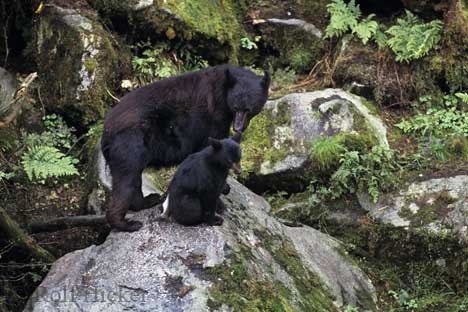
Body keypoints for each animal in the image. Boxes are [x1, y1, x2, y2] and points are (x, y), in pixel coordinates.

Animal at [102, 64, 270, 232]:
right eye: (235, 107)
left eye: (248, 109)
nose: (238, 128)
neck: (222, 93)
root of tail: (106, 131)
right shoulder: (212, 119)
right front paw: (220, 203)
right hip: (129, 145)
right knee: (126, 183)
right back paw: (126, 223)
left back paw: (148, 200)